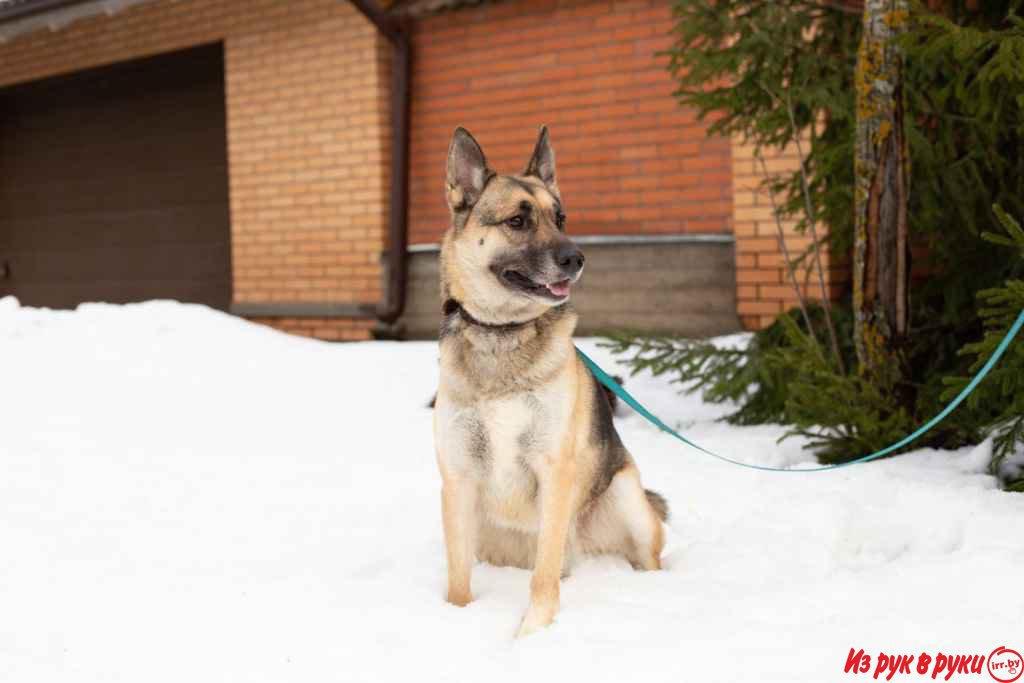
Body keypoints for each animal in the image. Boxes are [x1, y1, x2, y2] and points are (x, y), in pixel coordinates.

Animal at [432, 125, 671, 638]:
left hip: (624, 495)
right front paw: (459, 620)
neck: (502, 335)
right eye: (517, 222)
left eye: (560, 218)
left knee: (643, 556)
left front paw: (532, 634)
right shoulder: (458, 479)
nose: (577, 258)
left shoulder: (553, 471)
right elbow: (458, 579)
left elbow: (543, 577)